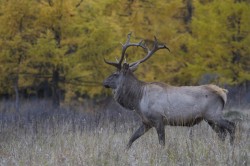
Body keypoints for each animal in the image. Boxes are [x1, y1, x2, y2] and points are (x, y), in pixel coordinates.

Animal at [102, 32, 235, 149]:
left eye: (115, 74)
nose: (104, 82)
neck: (137, 100)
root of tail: (223, 92)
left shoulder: (158, 119)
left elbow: (162, 143)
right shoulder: (146, 122)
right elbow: (131, 139)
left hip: (213, 114)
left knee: (231, 126)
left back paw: (231, 147)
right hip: (210, 119)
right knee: (222, 134)